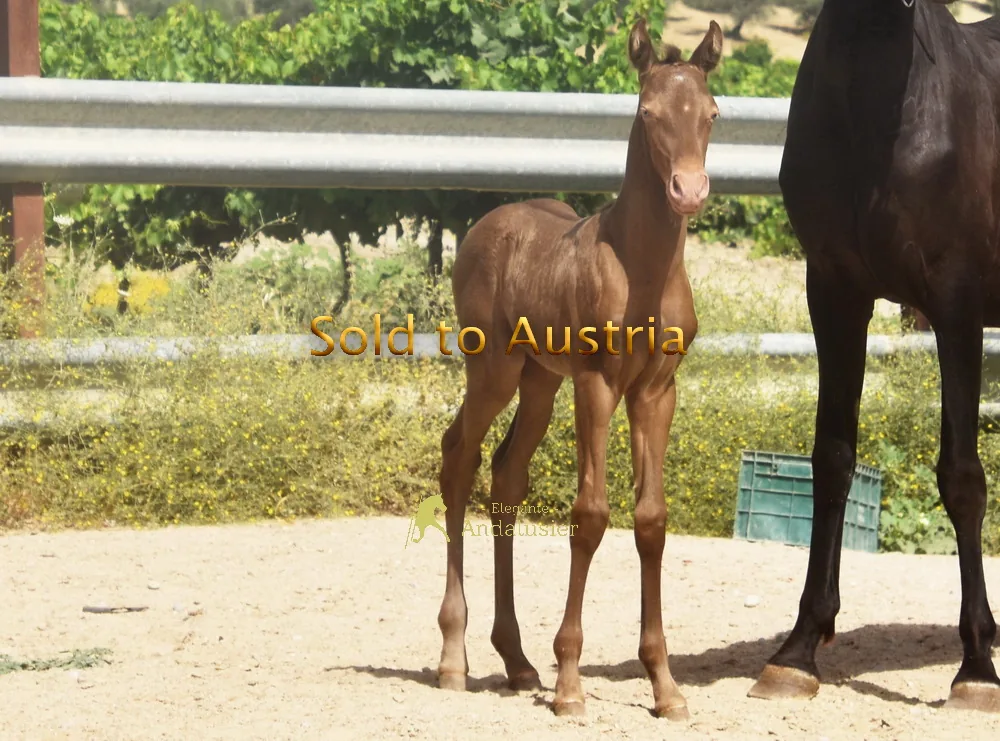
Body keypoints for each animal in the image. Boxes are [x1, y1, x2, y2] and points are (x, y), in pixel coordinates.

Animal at [433, 18, 723, 719]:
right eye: (648, 113)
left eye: (711, 113)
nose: (689, 190)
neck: (642, 266)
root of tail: (487, 223)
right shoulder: (597, 385)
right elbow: (589, 515)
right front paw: (570, 684)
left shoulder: (657, 391)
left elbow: (651, 520)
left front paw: (665, 686)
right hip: (494, 370)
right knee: (459, 458)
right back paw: (454, 658)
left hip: (540, 382)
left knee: (506, 476)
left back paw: (515, 660)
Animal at [746, 0, 1000, 713]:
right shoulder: (835, 292)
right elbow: (832, 459)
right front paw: (798, 650)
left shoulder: (957, 303)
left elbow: (962, 477)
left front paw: (976, 669)